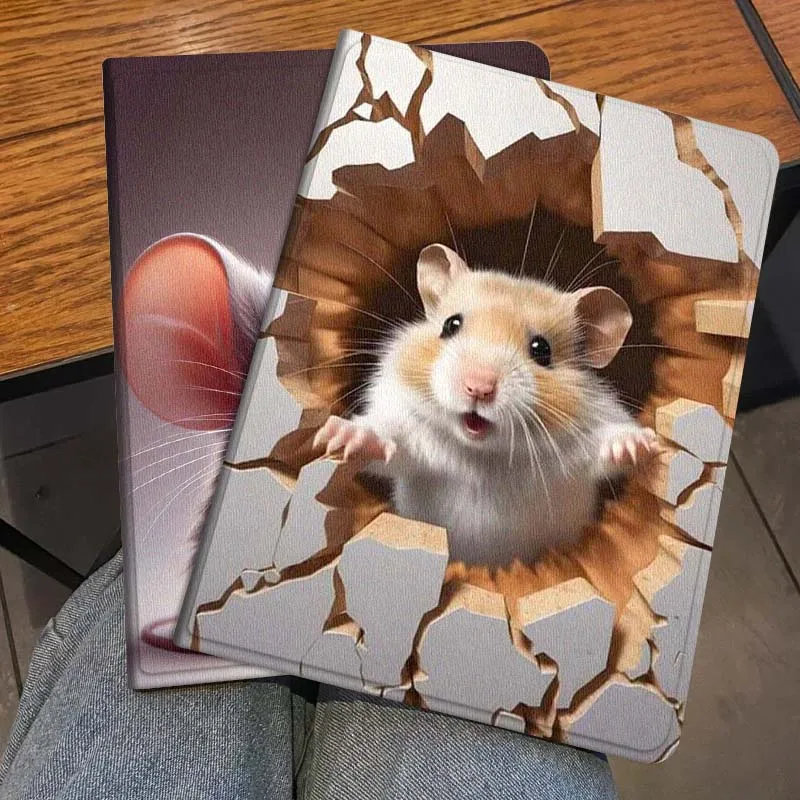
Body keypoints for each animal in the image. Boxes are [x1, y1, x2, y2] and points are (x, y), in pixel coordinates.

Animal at [314, 243, 658, 567]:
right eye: (450, 325)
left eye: (542, 350)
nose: (478, 387)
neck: (484, 455)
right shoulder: (409, 431)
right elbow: (385, 437)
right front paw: (336, 436)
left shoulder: (581, 446)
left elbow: (604, 445)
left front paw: (641, 444)